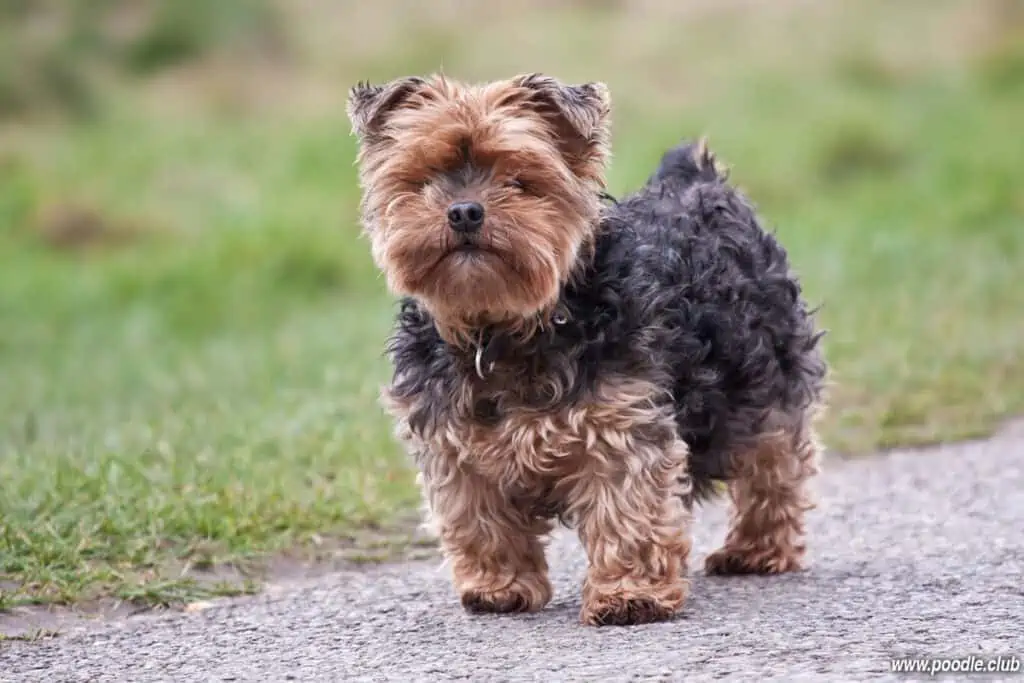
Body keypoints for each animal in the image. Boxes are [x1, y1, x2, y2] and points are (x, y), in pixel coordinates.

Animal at [348, 73, 827, 626]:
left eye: (519, 179)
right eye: (425, 177)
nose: (465, 211)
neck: (506, 326)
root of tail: (696, 178)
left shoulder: (621, 422)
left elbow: (628, 511)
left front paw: (629, 594)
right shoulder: (454, 442)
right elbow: (480, 519)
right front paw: (498, 586)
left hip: (765, 379)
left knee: (775, 465)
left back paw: (756, 549)